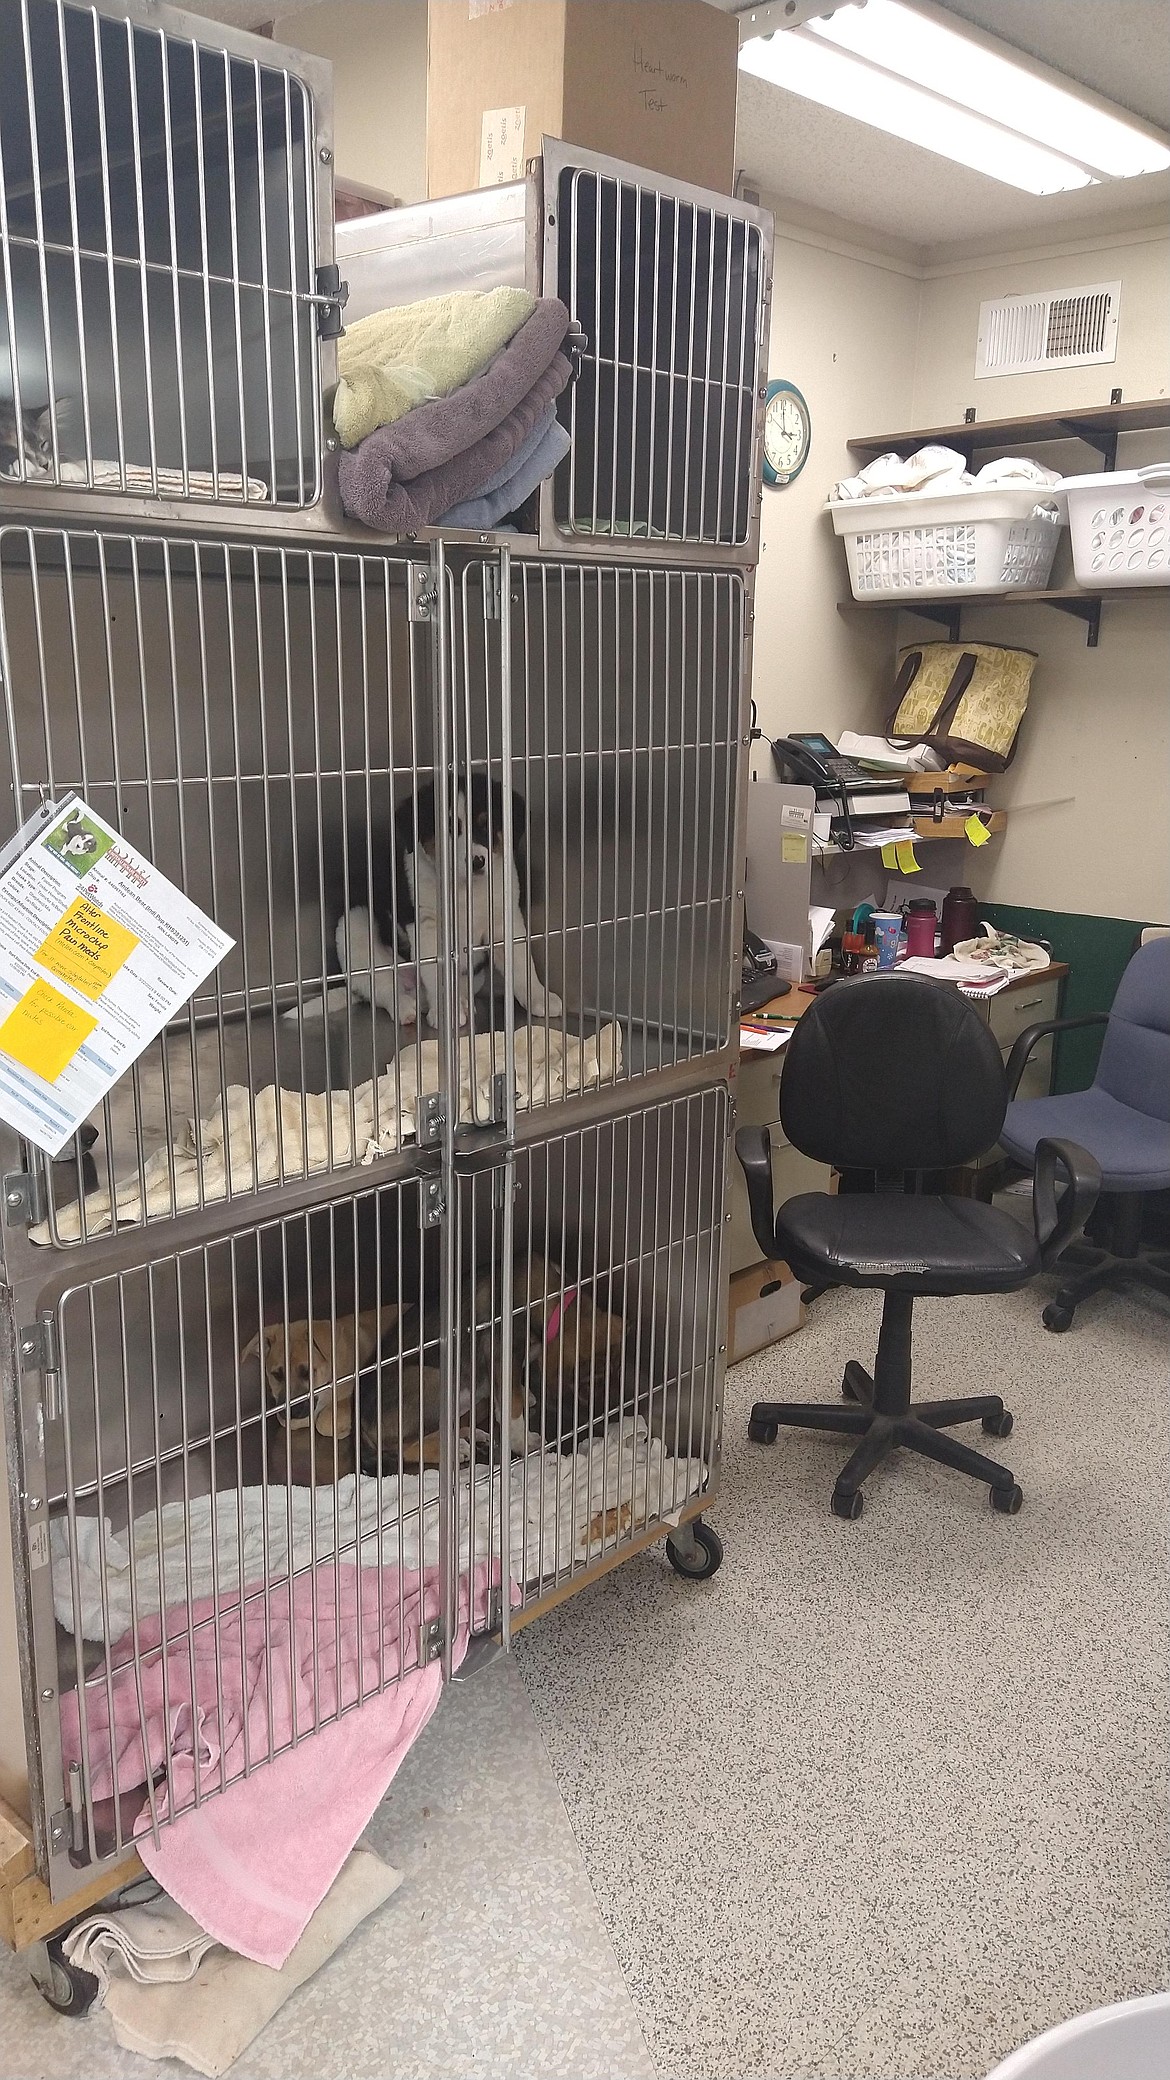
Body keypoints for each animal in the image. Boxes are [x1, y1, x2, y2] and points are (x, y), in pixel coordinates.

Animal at [320, 782, 557, 1031]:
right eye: (449, 828)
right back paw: (407, 1009)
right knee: (385, 989)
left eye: (487, 826)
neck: (464, 888)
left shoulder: (505, 919)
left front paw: (540, 998)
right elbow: (436, 973)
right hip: (353, 928)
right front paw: (446, 1012)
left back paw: (462, 1002)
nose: (477, 862)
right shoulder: (427, 926)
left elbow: (522, 964)